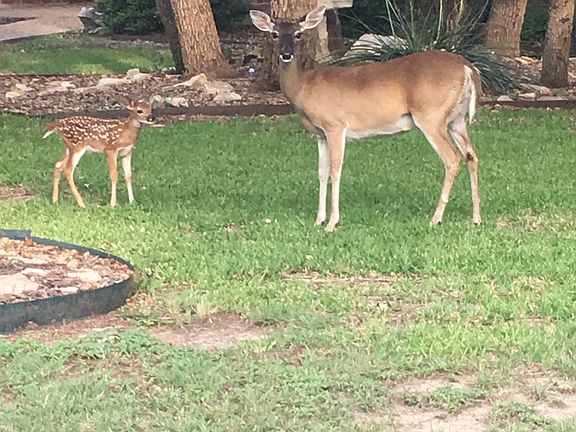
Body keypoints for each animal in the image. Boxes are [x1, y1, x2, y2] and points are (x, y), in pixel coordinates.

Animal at [250, 6, 483, 232]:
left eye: (298, 34)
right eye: (274, 34)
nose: (286, 54)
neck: (304, 87)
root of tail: (468, 69)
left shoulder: (335, 125)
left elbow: (336, 170)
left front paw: (332, 223)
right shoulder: (320, 135)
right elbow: (322, 172)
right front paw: (319, 220)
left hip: (431, 115)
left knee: (452, 158)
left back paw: (436, 218)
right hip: (456, 120)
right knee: (471, 155)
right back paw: (476, 218)